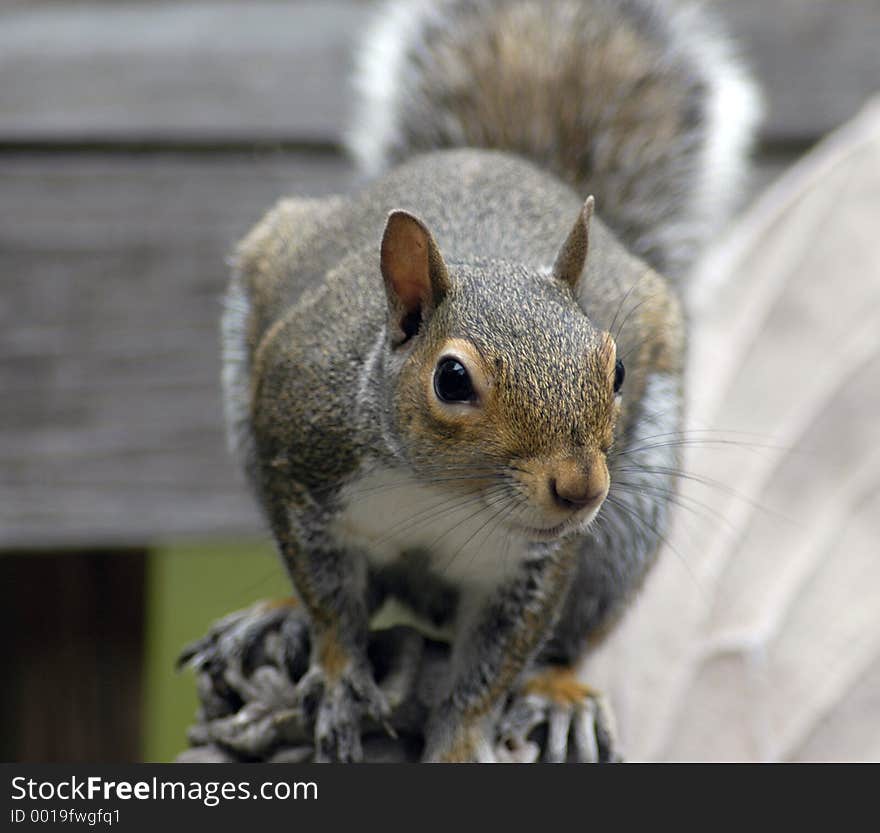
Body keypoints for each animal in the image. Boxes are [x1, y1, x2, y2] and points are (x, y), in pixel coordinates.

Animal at [220, 0, 756, 760]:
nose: (580, 489)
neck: (442, 493)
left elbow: (496, 663)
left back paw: (559, 694)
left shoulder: (536, 561)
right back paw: (281, 617)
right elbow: (329, 601)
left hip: (630, 524)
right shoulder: (295, 458)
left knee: (566, 640)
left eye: (617, 368)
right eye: (451, 378)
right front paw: (339, 672)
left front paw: (462, 740)